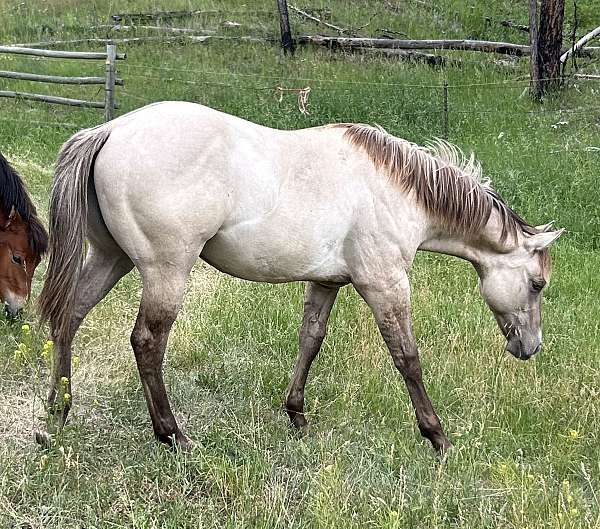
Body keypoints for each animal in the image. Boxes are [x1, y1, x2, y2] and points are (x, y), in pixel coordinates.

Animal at [37, 101, 564, 452]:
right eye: (537, 284)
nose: (530, 347)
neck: (396, 189)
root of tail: (111, 130)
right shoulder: (385, 285)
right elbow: (408, 359)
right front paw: (437, 436)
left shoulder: (327, 282)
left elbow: (310, 341)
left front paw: (296, 414)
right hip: (166, 270)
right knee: (147, 341)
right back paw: (172, 435)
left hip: (111, 258)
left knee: (68, 318)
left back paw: (55, 416)